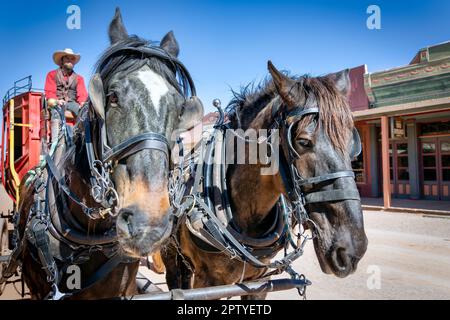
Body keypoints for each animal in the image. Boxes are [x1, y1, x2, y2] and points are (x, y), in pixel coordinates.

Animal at [163, 61, 368, 298]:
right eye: (303, 142)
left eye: (353, 144)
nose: (352, 250)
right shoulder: (206, 283)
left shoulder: (259, 283)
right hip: (170, 253)